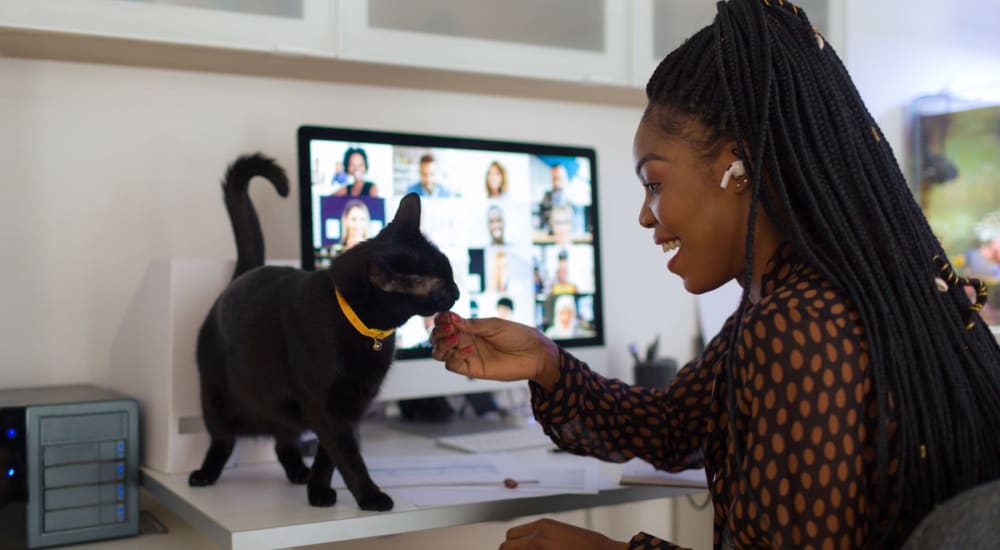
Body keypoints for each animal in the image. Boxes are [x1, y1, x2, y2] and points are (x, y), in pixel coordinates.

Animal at [189, 152, 458, 512]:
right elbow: (347, 455)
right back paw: (205, 473)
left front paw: (317, 491)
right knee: (223, 439)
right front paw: (370, 496)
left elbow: (329, 455)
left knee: (283, 440)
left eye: (451, 273)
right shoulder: (327, 406)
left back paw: (297, 472)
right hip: (216, 398)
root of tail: (242, 275)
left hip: (279, 408)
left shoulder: (352, 404)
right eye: (440, 285)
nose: (457, 291)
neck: (366, 332)